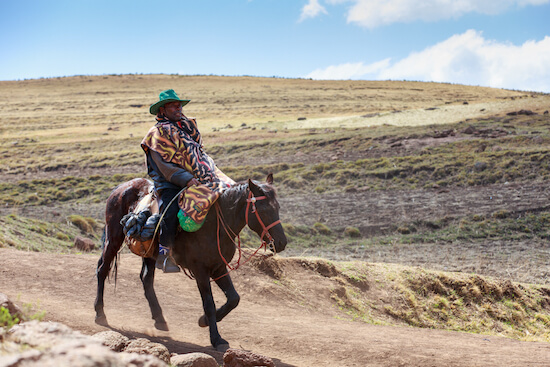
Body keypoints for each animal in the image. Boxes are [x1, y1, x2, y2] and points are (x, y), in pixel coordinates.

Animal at [94, 174, 288, 352]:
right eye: (263, 210)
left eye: (278, 208)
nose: (281, 243)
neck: (214, 225)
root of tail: (120, 188)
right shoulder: (200, 270)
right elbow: (209, 304)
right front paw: (216, 339)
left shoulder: (219, 267)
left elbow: (234, 298)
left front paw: (204, 321)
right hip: (113, 238)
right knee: (102, 270)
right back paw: (100, 314)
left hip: (148, 252)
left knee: (146, 278)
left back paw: (160, 319)